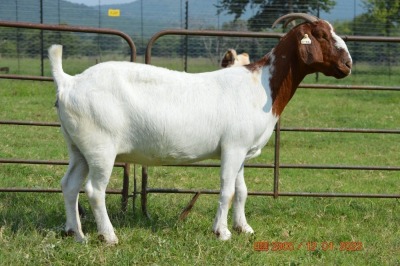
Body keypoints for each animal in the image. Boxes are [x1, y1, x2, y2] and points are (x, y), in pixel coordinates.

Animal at [48, 13, 352, 245]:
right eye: (321, 35)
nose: (347, 64)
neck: (262, 85)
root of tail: (68, 82)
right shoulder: (233, 147)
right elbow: (227, 190)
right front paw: (222, 232)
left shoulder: (241, 150)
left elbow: (241, 190)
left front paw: (244, 228)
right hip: (101, 147)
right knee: (94, 190)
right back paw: (109, 237)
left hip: (78, 148)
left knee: (69, 184)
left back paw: (76, 233)